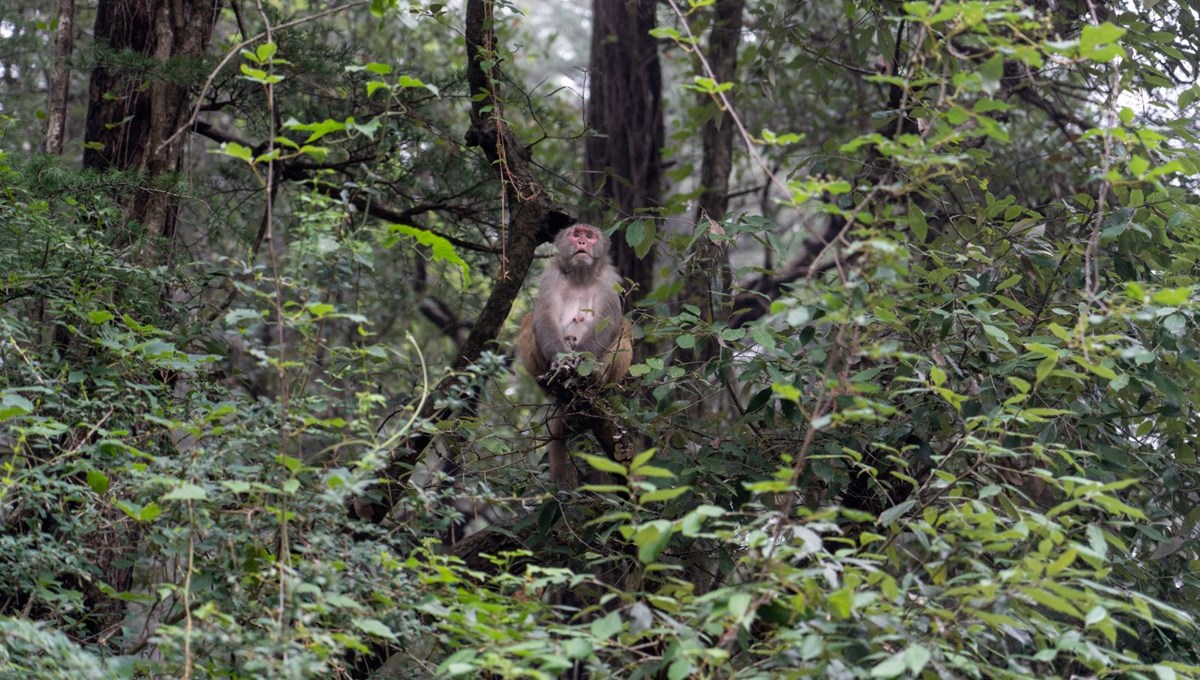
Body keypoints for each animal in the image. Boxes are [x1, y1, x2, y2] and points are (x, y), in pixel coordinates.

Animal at [518, 220, 633, 486]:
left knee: (625, 328)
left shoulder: (610, 280)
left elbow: (609, 322)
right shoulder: (551, 277)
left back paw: (595, 379)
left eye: (589, 236)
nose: (581, 242)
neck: (582, 276)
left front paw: (582, 360)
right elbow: (544, 317)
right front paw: (560, 363)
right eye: (576, 233)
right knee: (529, 320)